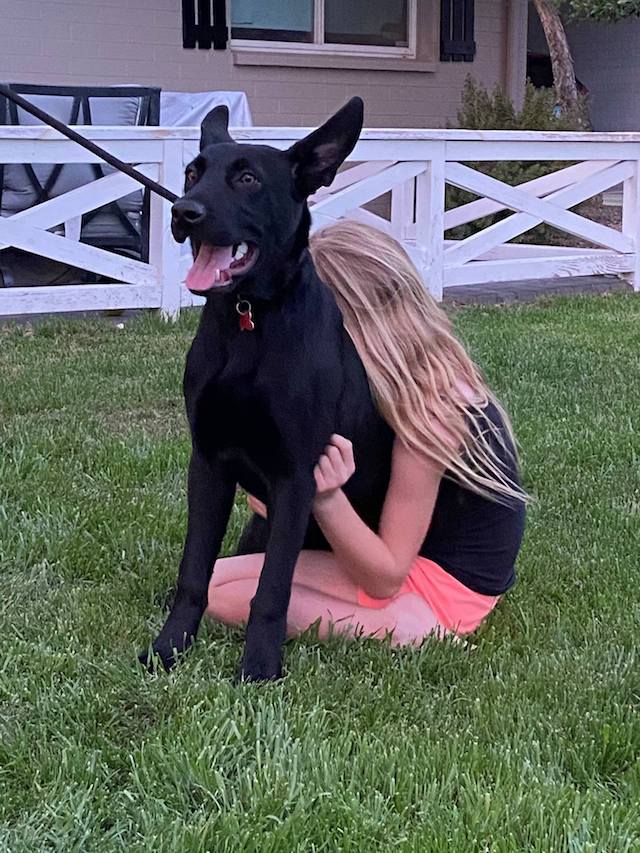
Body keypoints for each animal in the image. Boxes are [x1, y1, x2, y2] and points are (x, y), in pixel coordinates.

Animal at [140, 98, 396, 680]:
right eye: (193, 173)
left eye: (248, 179)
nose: (184, 212)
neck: (248, 318)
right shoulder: (208, 463)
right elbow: (195, 572)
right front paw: (170, 647)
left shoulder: (296, 475)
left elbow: (273, 586)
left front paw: (258, 667)